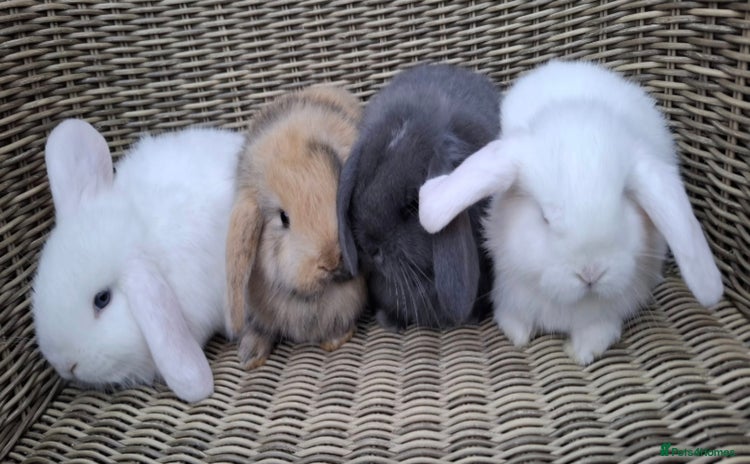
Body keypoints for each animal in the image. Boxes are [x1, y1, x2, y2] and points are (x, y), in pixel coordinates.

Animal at [419, 60, 724, 365]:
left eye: (624, 203)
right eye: (544, 217)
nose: (590, 273)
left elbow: (596, 332)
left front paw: (582, 353)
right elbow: (515, 319)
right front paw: (517, 335)